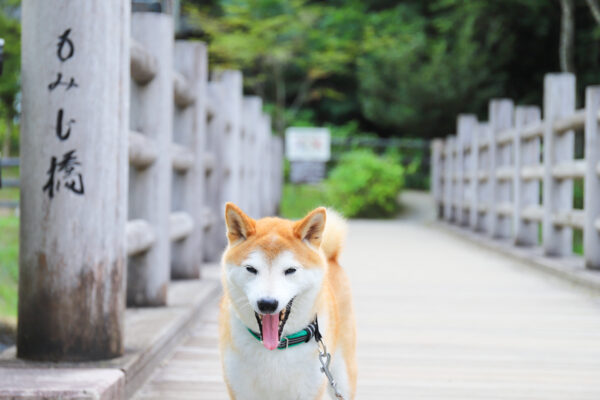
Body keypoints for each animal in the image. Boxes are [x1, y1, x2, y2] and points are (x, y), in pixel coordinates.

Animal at [219, 205, 356, 398]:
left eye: (290, 270)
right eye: (251, 269)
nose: (267, 303)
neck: (277, 347)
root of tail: (331, 258)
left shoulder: (309, 391)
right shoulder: (240, 390)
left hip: (343, 377)